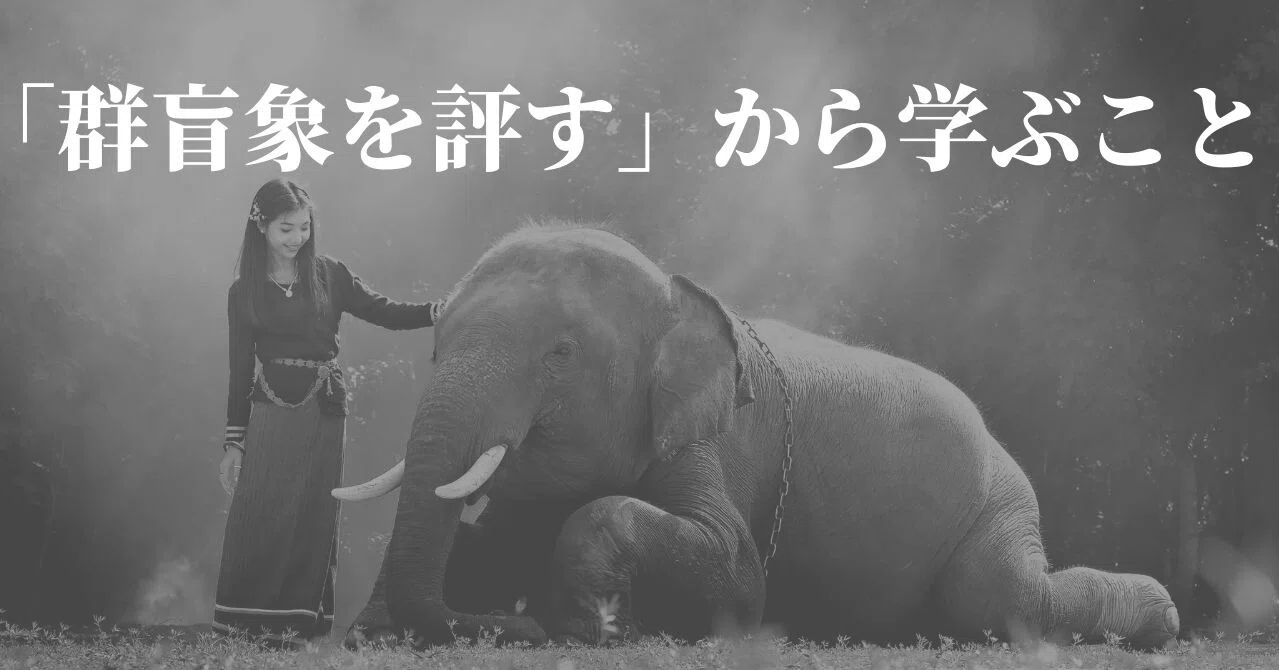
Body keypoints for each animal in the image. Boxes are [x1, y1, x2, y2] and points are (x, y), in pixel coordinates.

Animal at [331, 220, 1180, 651]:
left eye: (559, 355)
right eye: (434, 346)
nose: (508, 628)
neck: (672, 289)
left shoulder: (711, 439)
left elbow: (736, 573)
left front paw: (588, 627)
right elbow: (492, 533)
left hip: (996, 503)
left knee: (1001, 601)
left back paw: (1160, 621)